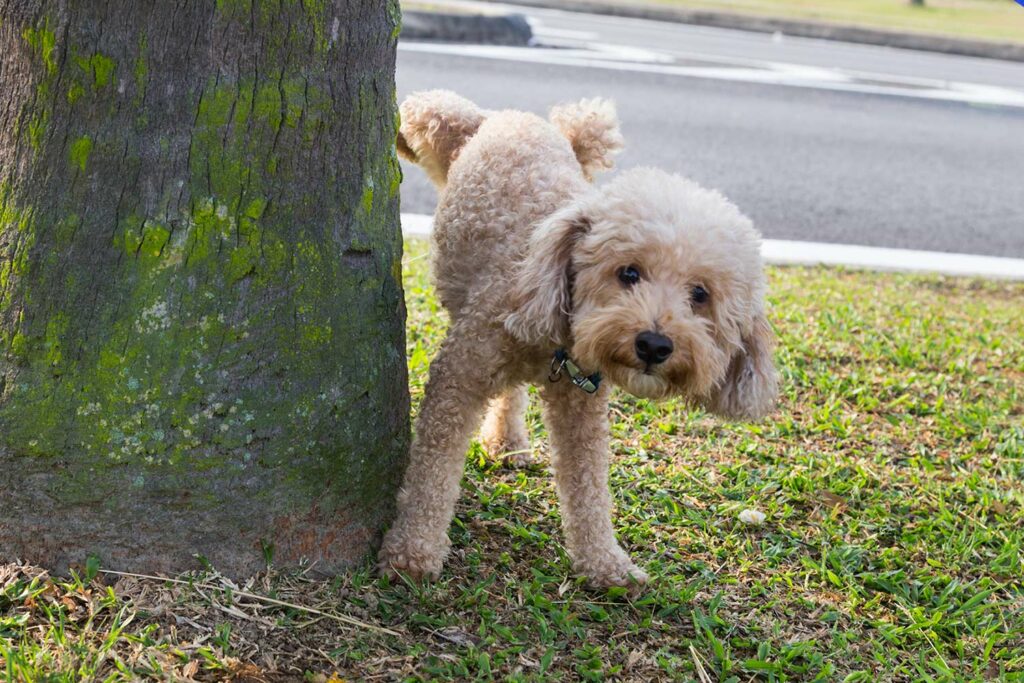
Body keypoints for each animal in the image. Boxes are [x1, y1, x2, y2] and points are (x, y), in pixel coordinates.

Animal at [380, 90, 778, 589]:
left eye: (700, 295)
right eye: (629, 273)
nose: (654, 345)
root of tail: (513, 118)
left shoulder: (581, 404)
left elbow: (588, 486)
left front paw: (605, 563)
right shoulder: (459, 376)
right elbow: (433, 470)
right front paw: (413, 549)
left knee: (511, 394)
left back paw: (508, 442)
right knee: (431, 106)